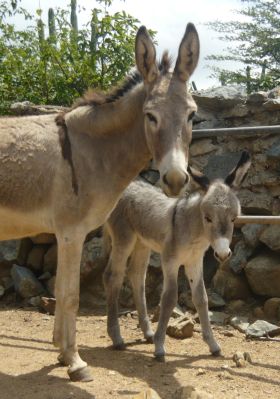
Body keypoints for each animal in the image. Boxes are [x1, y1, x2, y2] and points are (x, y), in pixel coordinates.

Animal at [103, 152, 252, 360]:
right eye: (207, 218)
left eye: (234, 218)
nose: (223, 254)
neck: (193, 231)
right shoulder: (170, 261)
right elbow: (168, 299)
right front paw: (159, 347)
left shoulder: (194, 262)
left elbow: (201, 298)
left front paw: (213, 345)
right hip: (124, 239)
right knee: (113, 277)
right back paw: (117, 338)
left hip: (142, 243)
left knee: (137, 276)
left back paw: (147, 333)